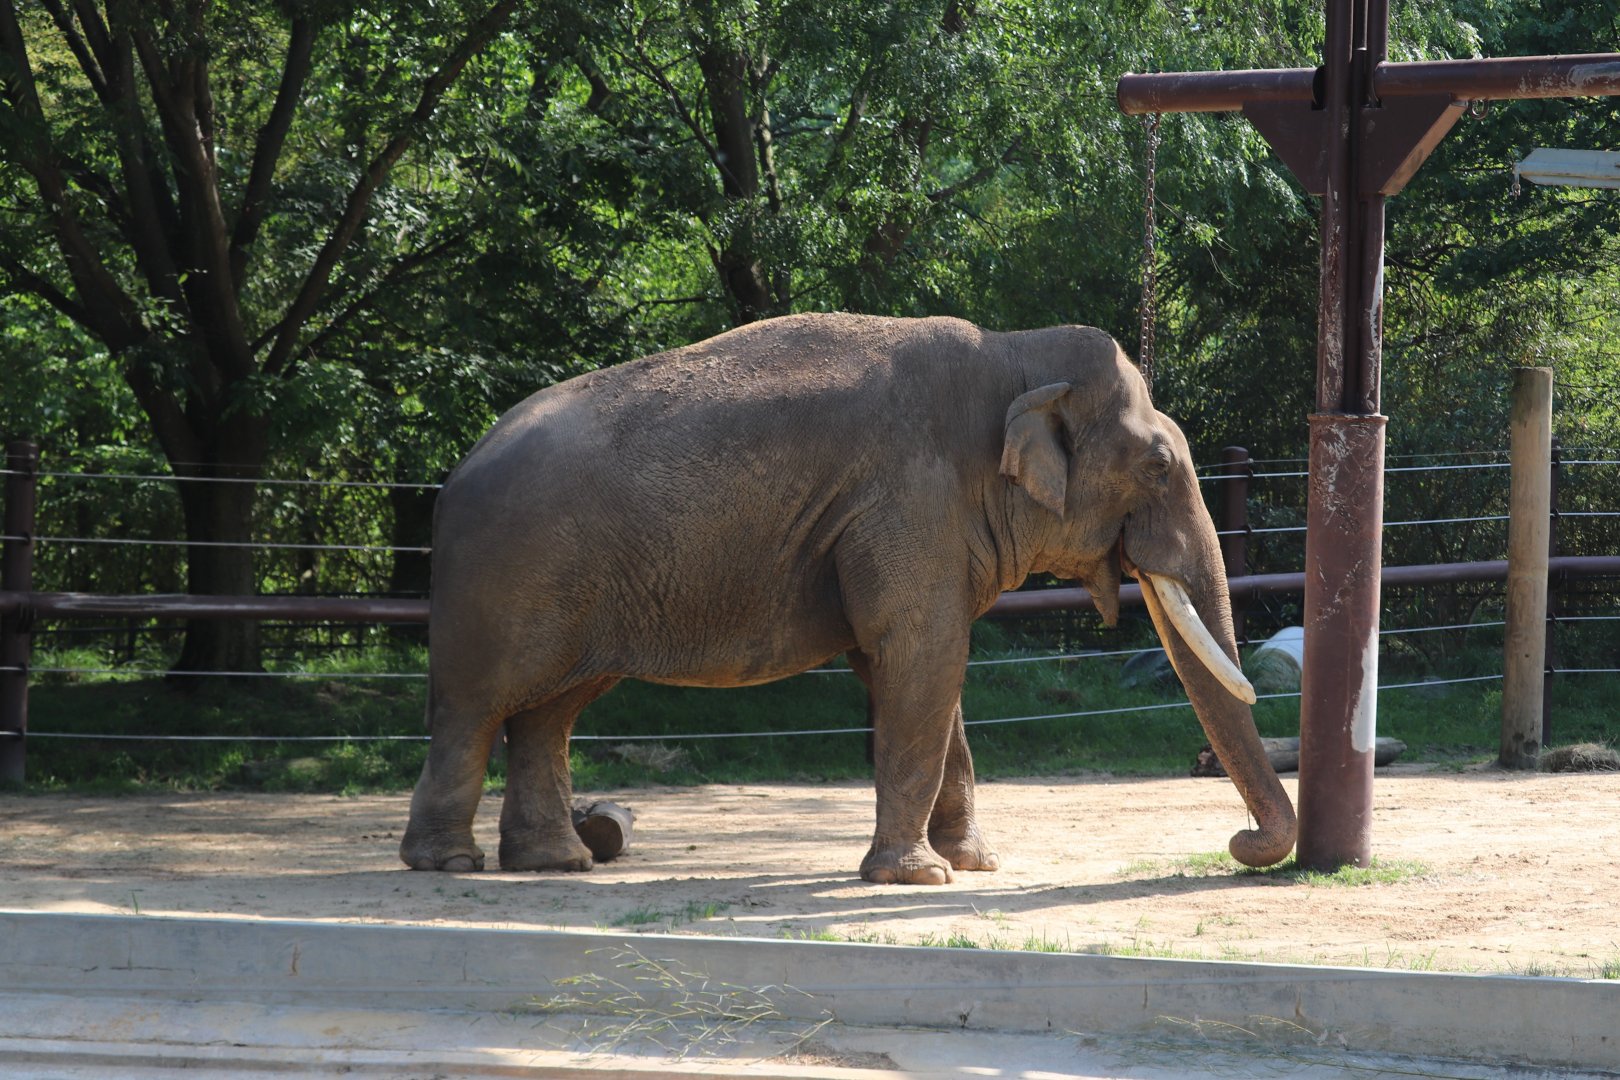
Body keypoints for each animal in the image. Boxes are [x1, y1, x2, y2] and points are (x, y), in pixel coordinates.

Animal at [399, 312, 1297, 884]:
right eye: (1158, 467)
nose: (1240, 840)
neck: (1013, 354)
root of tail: (455, 475)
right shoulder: (908, 503)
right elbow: (920, 657)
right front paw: (919, 879)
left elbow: (920, 669)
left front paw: (973, 865)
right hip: (502, 577)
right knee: (477, 707)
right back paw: (449, 864)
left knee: (548, 711)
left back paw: (557, 862)